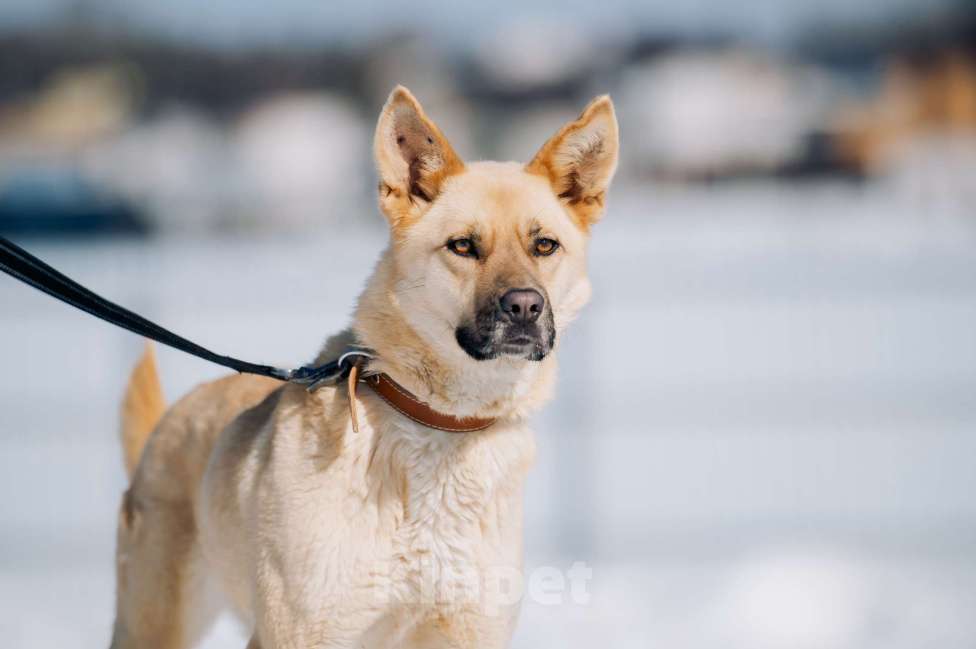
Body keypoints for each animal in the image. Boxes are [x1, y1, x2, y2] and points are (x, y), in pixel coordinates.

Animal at [112, 87, 616, 648]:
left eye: (544, 244)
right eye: (463, 246)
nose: (525, 306)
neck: (437, 425)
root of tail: (169, 420)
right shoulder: (300, 632)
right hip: (153, 624)